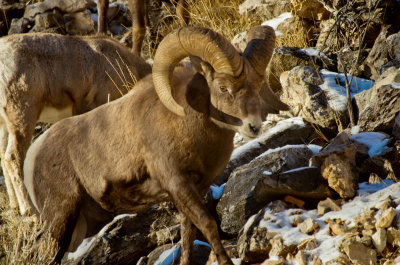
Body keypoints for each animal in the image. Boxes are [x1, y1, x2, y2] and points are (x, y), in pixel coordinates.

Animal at [0, 33, 152, 214]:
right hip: (22, 117)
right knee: (12, 158)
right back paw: (30, 212)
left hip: (4, 125)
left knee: (3, 157)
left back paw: (15, 207)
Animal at [24, 24, 288, 262]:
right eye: (223, 88)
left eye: (257, 85)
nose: (253, 126)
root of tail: (32, 155)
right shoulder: (177, 183)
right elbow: (207, 224)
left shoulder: (193, 190)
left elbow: (188, 234)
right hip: (59, 221)